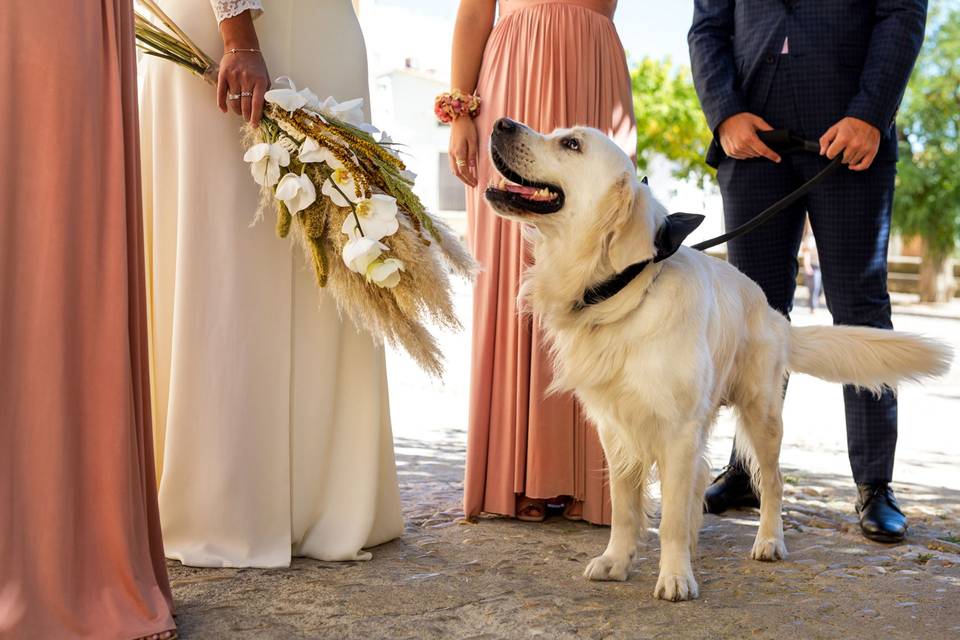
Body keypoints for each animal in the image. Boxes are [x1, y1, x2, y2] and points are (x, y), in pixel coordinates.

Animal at [484, 117, 948, 604]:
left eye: (571, 144)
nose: (501, 123)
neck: (623, 292)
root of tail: (773, 312)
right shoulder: (616, 428)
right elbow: (625, 508)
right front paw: (617, 561)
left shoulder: (677, 428)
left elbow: (669, 516)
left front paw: (675, 577)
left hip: (762, 415)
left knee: (771, 483)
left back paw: (768, 541)